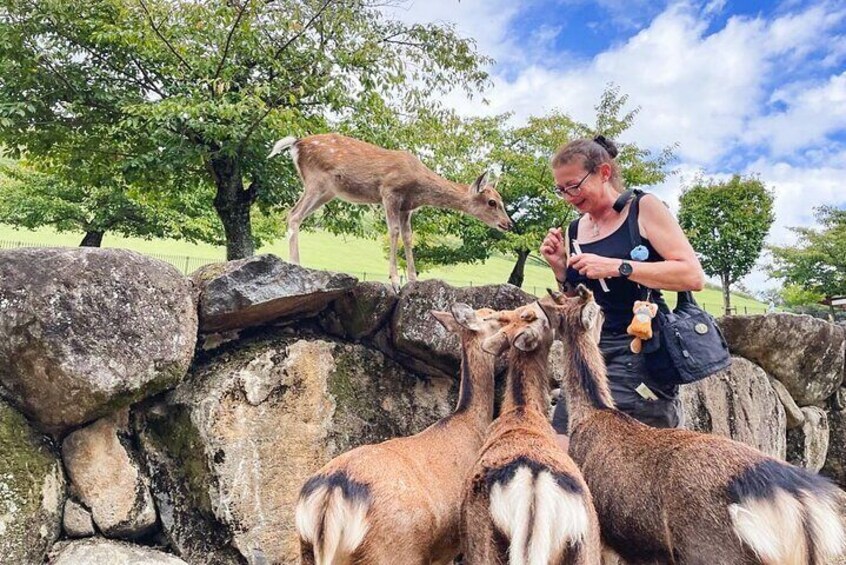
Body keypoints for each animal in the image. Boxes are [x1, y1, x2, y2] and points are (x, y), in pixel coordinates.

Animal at [268, 133, 513, 289]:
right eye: (492, 202)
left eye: (501, 199)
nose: (509, 224)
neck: (418, 185)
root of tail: (296, 144)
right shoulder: (389, 192)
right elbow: (393, 231)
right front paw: (394, 280)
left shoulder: (407, 207)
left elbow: (408, 236)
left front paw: (413, 280)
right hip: (316, 181)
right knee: (293, 214)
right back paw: (295, 264)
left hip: (327, 191)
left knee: (295, 214)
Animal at [295, 304, 514, 564]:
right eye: (496, 317)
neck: (471, 425)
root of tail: (331, 492)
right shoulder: (453, 542)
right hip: (395, 549)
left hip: (306, 546)